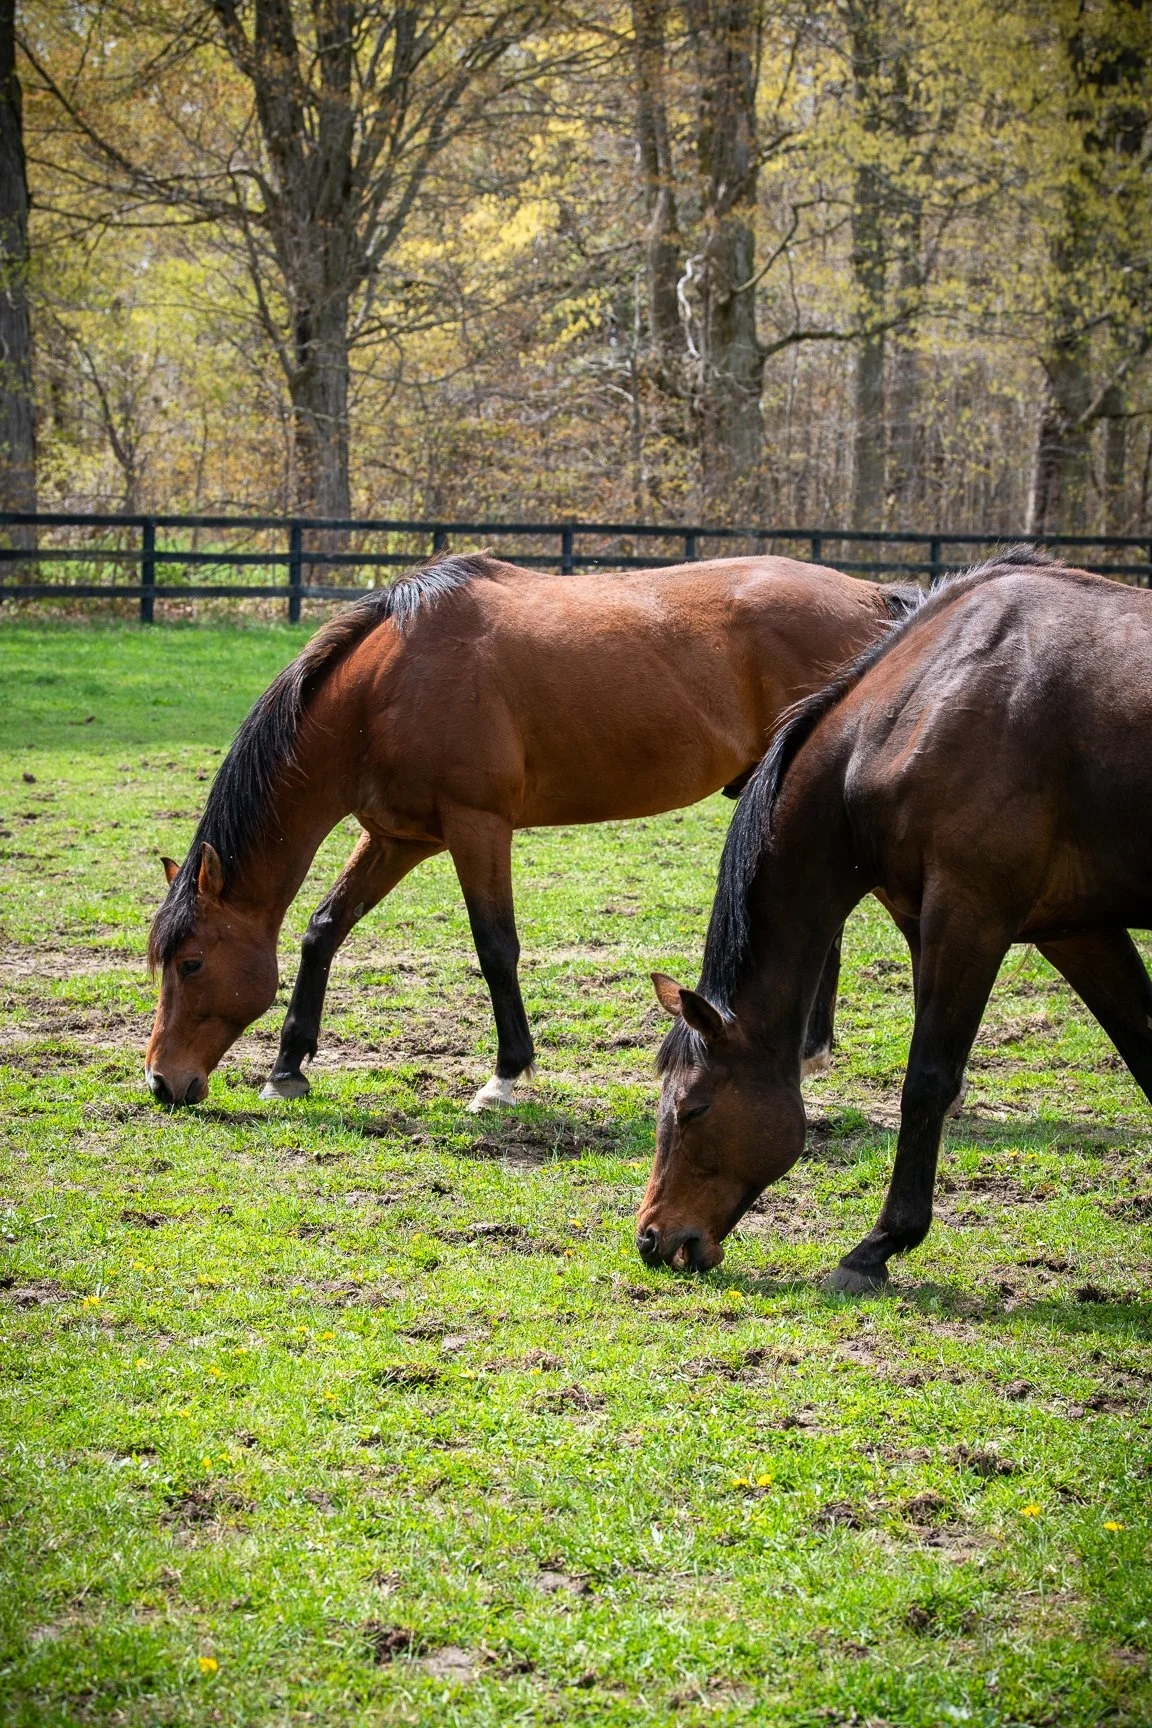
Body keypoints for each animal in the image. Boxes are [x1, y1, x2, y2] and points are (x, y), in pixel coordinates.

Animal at [145, 550, 915, 1111]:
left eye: (191, 964)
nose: (160, 1082)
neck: (387, 685)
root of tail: (872, 598)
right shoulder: (398, 838)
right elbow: (323, 928)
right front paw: (287, 1068)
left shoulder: (477, 826)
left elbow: (496, 948)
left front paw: (506, 1075)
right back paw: (809, 1052)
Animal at [638, 547, 1152, 1289]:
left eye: (693, 1107)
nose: (651, 1239)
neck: (920, 710)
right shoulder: (1077, 931)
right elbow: (1145, 1050)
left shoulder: (969, 917)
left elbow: (928, 1079)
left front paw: (879, 1244)